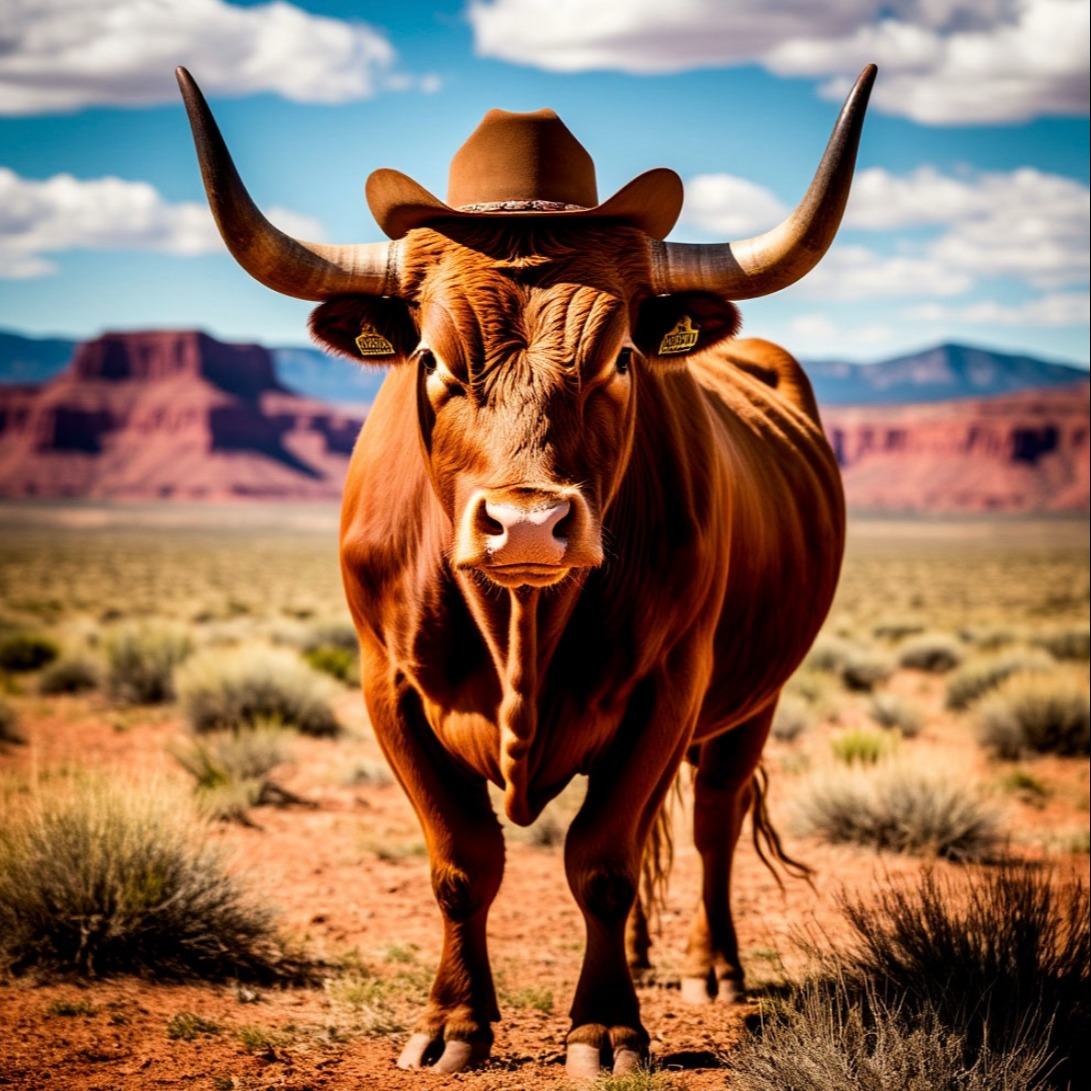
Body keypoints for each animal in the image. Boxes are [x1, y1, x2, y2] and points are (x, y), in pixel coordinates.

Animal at [178, 64, 875, 1079]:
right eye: (432, 358)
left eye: (619, 358)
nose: (528, 525)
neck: (518, 628)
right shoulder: (388, 687)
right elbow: (462, 859)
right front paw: (452, 1023)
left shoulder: (671, 682)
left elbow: (601, 857)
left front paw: (607, 1028)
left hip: (751, 697)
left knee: (709, 817)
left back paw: (709, 968)